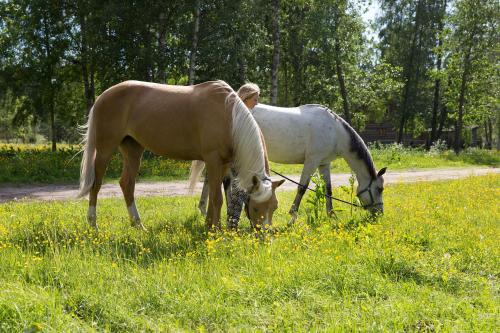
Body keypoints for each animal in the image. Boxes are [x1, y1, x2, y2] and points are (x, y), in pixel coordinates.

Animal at [76, 80, 284, 228]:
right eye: (256, 208)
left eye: (274, 206)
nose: (265, 237)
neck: (229, 116)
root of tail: (103, 96)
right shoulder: (213, 159)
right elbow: (217, 198)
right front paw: (216, 230)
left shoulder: (223, 163)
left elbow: (216, 197)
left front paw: (209, 226)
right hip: (105, 148)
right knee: (96, 184)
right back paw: (93, 224)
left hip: (133, 149)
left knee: (127, 184)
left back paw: (138, 225)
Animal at [198, 102, 386, 224]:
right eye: (379, 189)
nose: (379, 214)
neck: (335, 131)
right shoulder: (311, 161)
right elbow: (302, 188)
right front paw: (292, 216)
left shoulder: (324, 164)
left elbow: (328, 189)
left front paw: (331, 215)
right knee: (223, 181)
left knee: (211, 179)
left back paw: (204, 209)